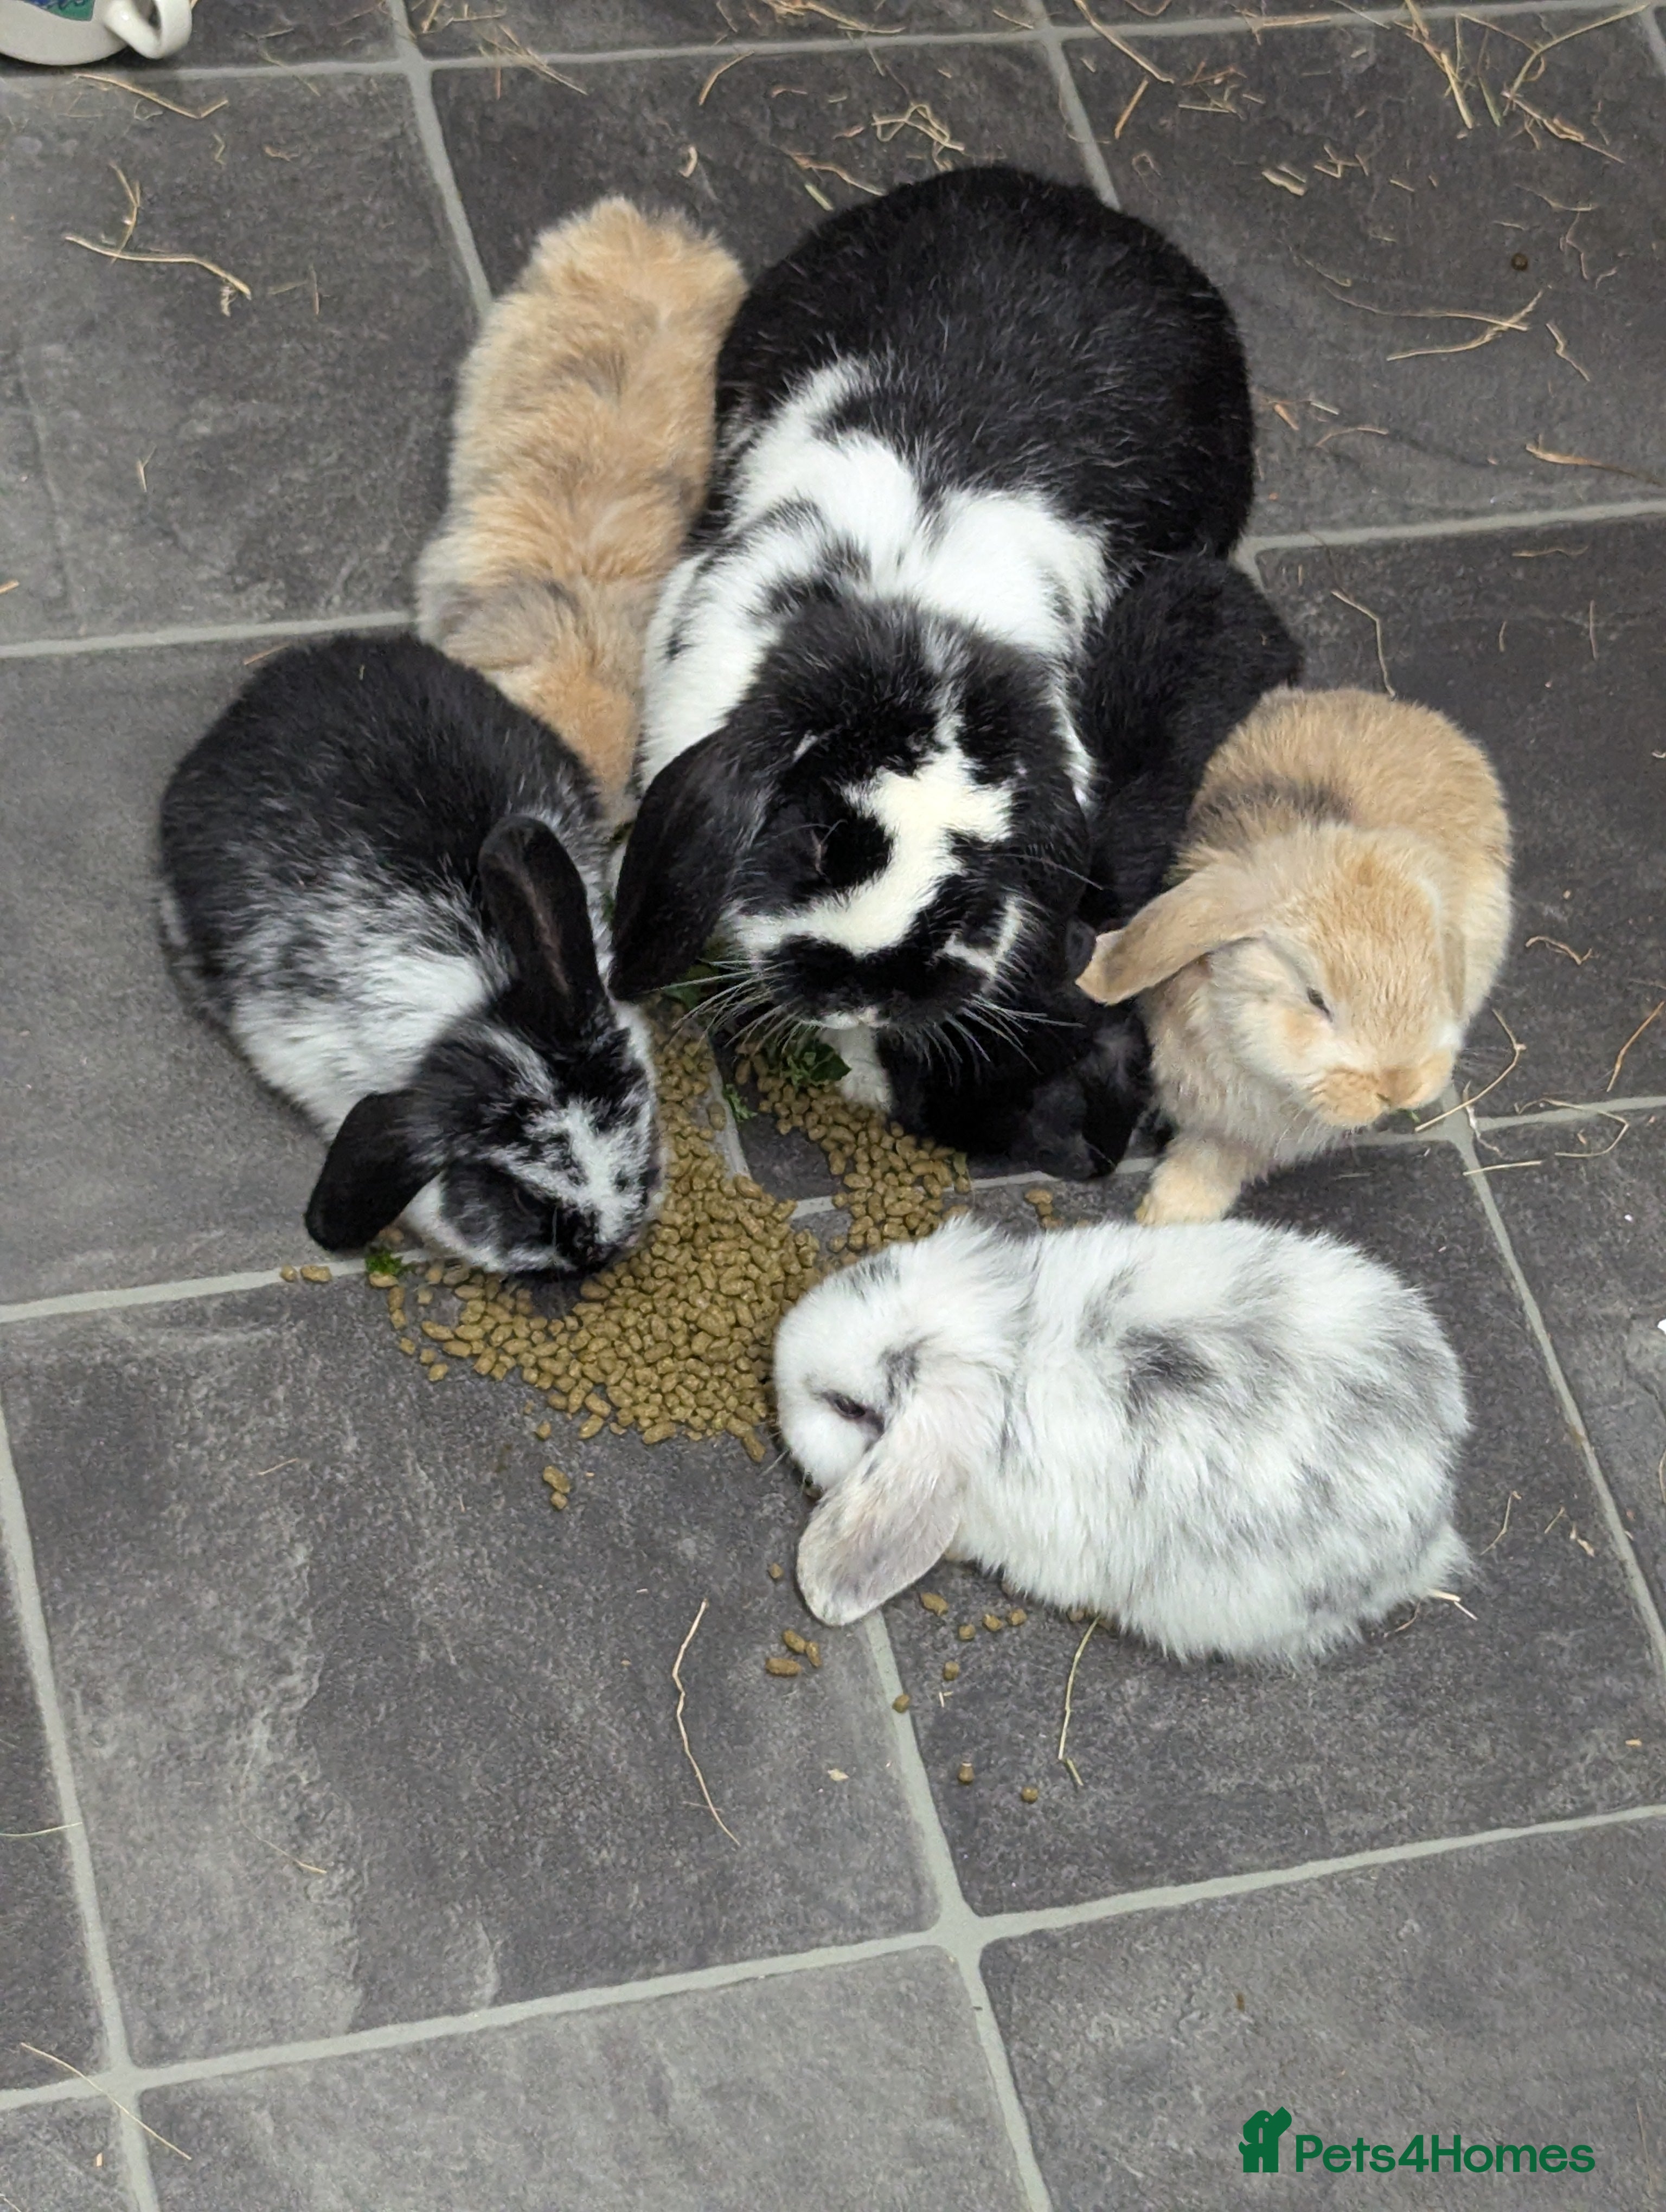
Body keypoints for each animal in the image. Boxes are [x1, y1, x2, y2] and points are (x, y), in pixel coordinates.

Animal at [1077, 687, 1512, 1224]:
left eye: (1431, 978)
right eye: (1316, 999)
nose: (1397, 1087)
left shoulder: (1247, 1131)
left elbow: (1216, 1158)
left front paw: (1169, 1214)